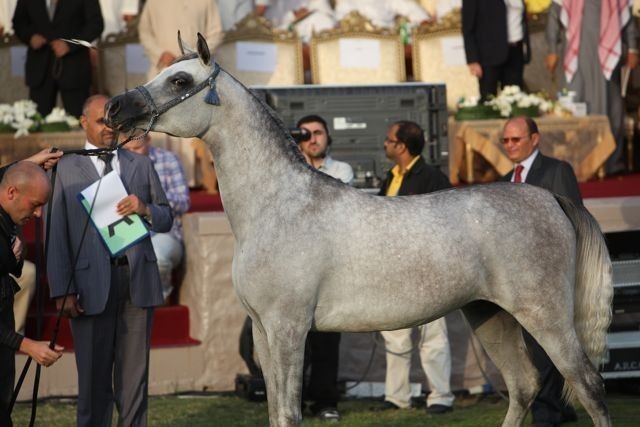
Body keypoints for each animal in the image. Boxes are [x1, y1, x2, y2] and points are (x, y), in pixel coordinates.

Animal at [105, 34, 613, 427]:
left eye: (180, 81)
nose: (114, 106)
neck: (279, 206)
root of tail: (550, 199)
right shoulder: (265, 332)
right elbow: (273, 412)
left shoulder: (288, 329)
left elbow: (289, 412)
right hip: (490, 315)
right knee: (524, 386)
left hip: (545, 317)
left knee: (588, 385)